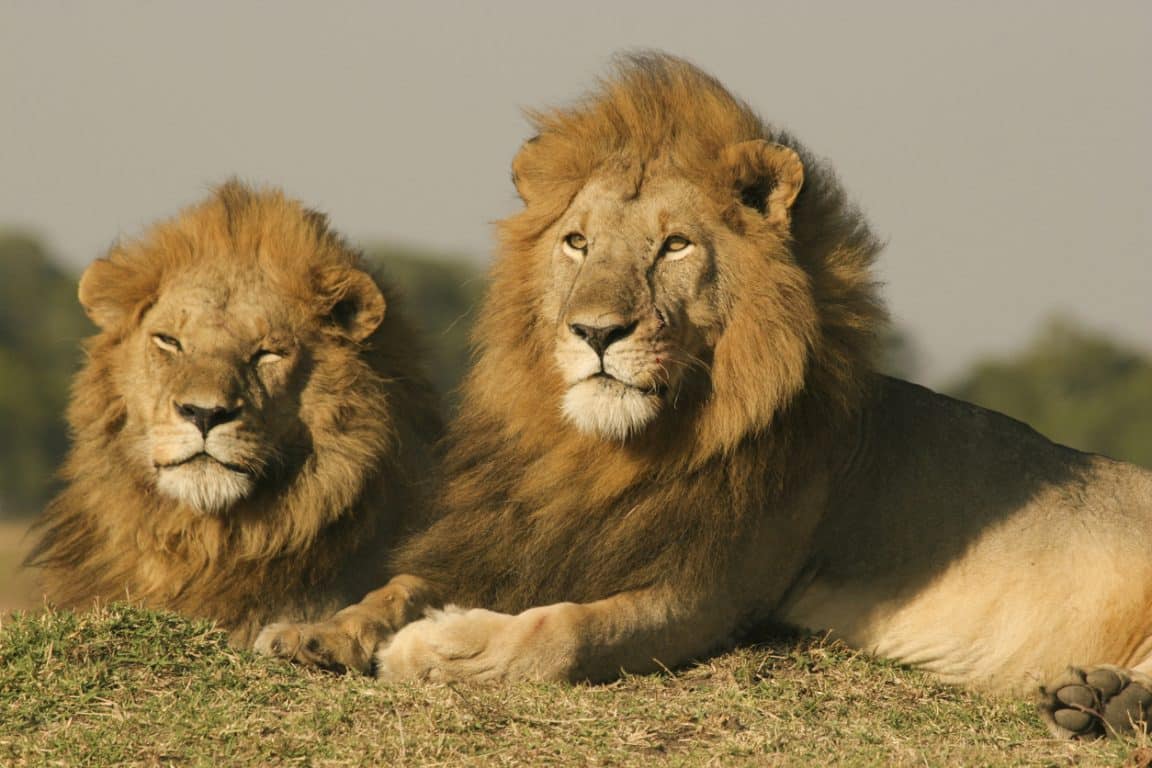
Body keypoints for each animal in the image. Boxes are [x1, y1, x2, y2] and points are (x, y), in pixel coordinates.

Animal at [256, 55, 1152, 738]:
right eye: (576, 242)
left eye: (676, 247)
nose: (595, 332)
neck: (609, 451)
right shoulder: (532, 540)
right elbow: (399, 584)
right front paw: (317, 630)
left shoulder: (715, 590)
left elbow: (568, 632)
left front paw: (438, 649)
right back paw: (1092, 699)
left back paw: (1101, 702)